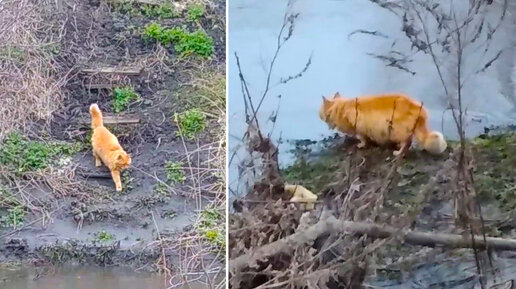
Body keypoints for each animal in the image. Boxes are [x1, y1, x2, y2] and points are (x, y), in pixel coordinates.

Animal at [316, 92, 446, 155]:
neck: (340, 108)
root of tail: (420, 112)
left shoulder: (358, 128)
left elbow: (361, 138)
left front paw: (361, 144)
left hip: (397, 130)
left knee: (406, 143)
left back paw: (398, 152)